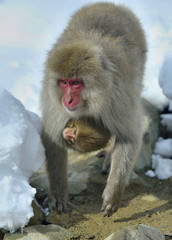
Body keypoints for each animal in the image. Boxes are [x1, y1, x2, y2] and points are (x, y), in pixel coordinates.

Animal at [40, 1, 146, 217]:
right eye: (63, 82)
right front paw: (58, 193)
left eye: (76, 83)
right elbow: (53, 140)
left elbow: (129, 137)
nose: (68, 99)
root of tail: (111, 5)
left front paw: (113, 192)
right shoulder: (54, 100)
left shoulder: (117, 98)